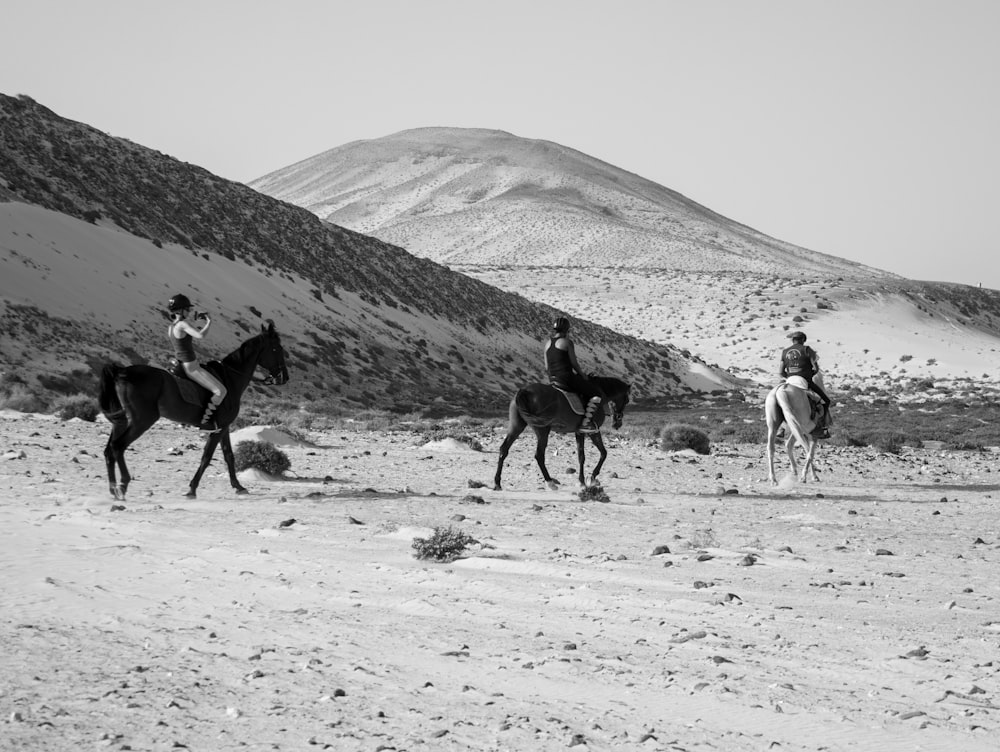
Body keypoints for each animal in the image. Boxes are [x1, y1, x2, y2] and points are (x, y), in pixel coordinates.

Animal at [99, 322, 290, 500]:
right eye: (277, 348)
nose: (284, 377)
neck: (230, 378)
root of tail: (121, 371)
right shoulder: (218, 429)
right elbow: (206, 457)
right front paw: (192, 489)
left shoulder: (223, 427)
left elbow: (229, 455)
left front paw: (238, 486)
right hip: (141, 421)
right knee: (118, 446)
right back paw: (123, 485)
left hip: (122, 422)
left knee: (109, 450)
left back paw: (113, 489)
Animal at [494, 376, 628, 494]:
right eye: (627, 400)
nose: (618, 422)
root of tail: (524, 390)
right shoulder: (593, 432)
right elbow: (603, 453)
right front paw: (592, 477)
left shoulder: (579, 432)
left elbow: (581, 456)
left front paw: (582, 481)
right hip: (542, 430)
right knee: (539, 455)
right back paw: (550, 483)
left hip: (517, 427)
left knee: (504, 449)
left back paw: (497, 483)